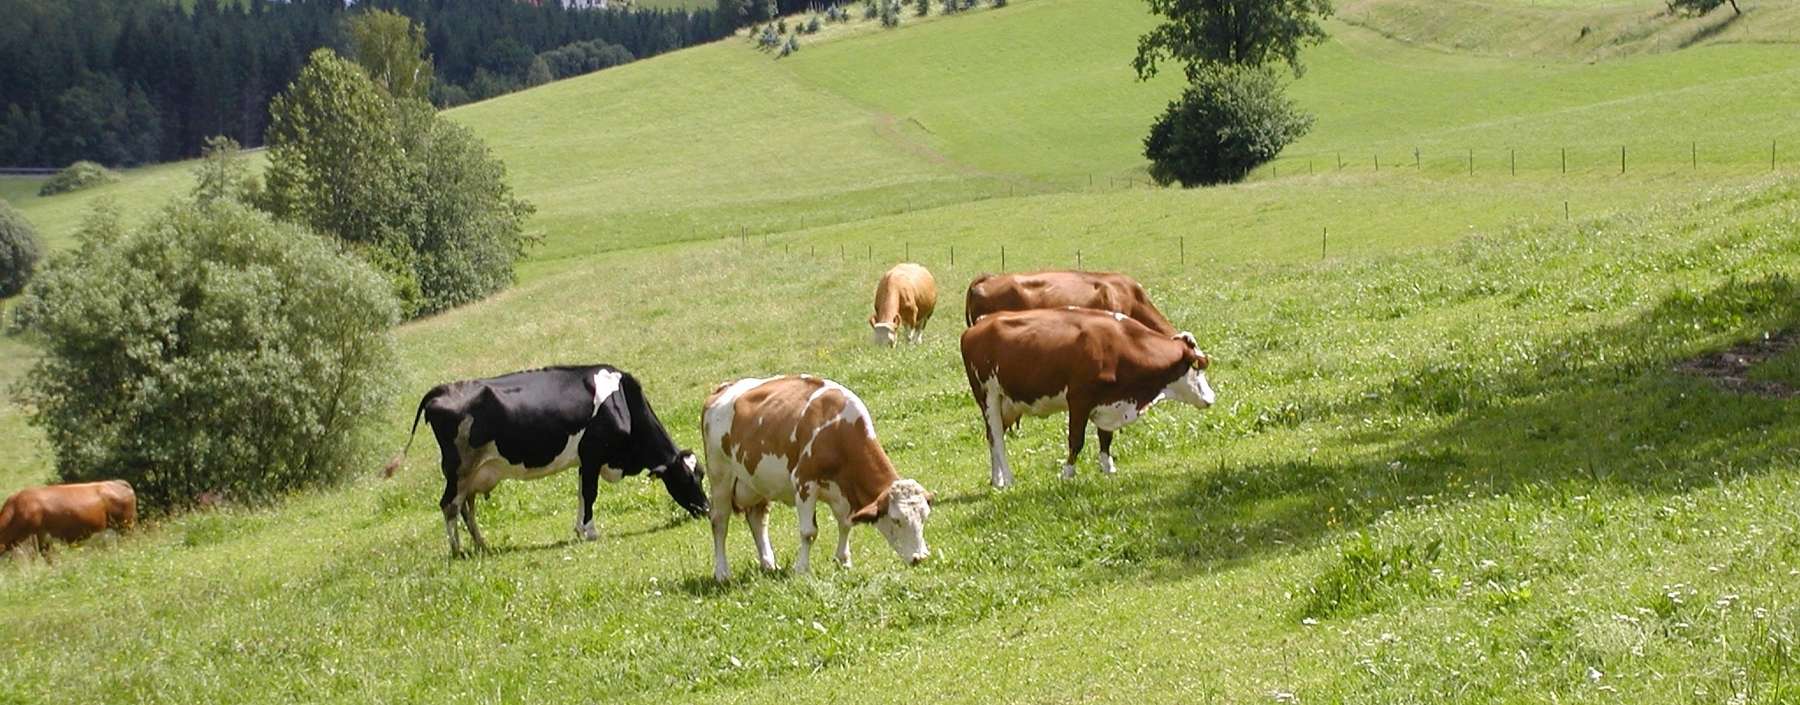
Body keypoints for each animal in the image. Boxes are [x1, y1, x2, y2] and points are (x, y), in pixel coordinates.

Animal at [383, 365, 709, 555]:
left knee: (465, 506)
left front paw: (580, 529)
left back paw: (482, 545)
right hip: (459, 468)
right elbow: (590, 493)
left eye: (701, 474)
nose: (706, 508)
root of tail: (441, 389)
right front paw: (590, 532)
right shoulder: (592, 455)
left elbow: (581, 494)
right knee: (449, 505)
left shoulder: (584, 461)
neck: (621, 402)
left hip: (473, 472)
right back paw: (458, 551)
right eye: (687, 477)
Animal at [702, 374, 935, 581]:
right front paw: (802, 569)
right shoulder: (804, 483)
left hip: (757, 482)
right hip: (720, 475)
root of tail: (722, 388)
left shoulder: (841, 493)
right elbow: (808, 532)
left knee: (758, 519)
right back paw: (722, 572)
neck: (838, 431)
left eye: (924, 517)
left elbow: (846, 524)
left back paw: (768, 564)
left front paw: (843, 560)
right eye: (896, 520)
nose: (920, 557)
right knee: (719, 521)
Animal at [960, 307, 1215, 488]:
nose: (1211, 397)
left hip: (1007, 403)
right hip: (988, 396)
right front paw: (1067, 473)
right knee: (997, 438)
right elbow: (1076, 440)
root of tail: (982, 322)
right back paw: (1009, 479)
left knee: (991, 437)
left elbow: (1105, 437)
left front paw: (1108, 467)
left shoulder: (1108, 401)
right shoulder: (1079, 399)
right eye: (1197, 365)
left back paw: (997, 480)